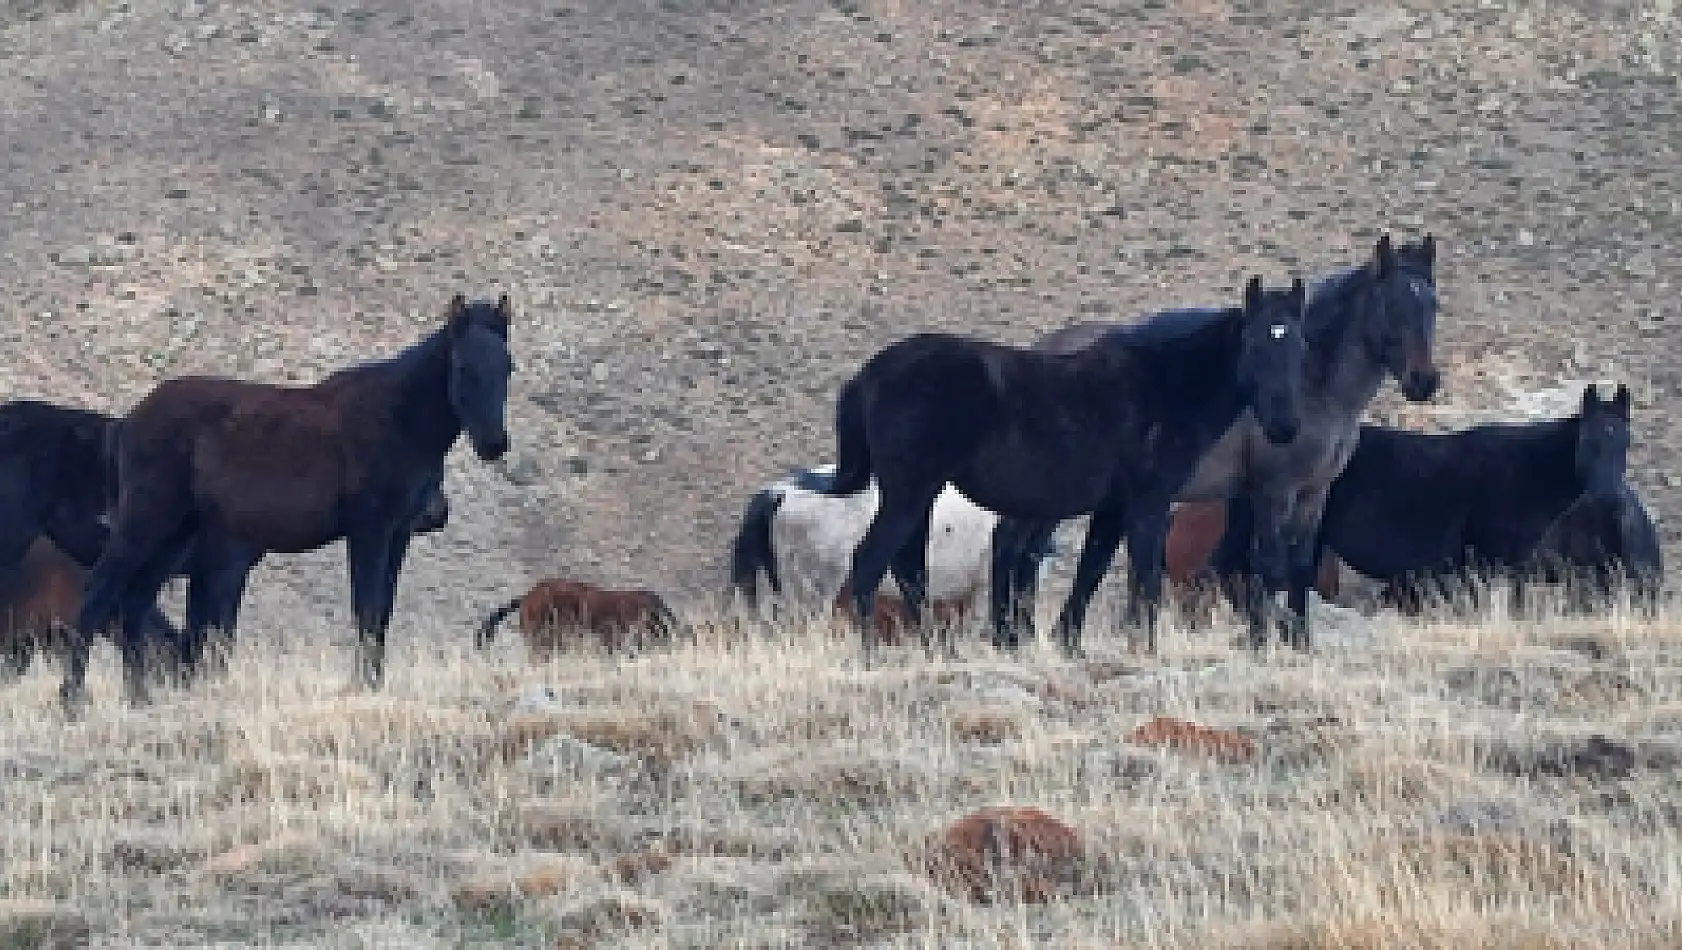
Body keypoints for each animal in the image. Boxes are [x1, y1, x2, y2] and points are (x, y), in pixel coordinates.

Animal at [65, 292, 514, 706]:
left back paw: (138, 699)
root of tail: (128, 422)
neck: (399, 419)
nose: (494, 444)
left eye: (508, 367)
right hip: (146, 522)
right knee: (99, 590)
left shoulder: (399, 533)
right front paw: (363, 686)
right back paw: (72, 699)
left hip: (175, 532)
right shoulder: (369, 530)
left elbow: (383, 611)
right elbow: (366, 607)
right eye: (463, 368)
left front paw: (375, 682)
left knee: (136, 601)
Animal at [814, 274, 1311, 659]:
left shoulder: (1113, 508)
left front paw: (1075, 644)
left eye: (1301, 345)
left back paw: (935, 650)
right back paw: (870, 655)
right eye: (1254, 344)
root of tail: (868, 375)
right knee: (870, 563)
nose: (1285, 426)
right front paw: (1145, 649)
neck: (1165, 385)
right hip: (909, 492)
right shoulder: (1148, 502)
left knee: (909, 567)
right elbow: (1146, 576)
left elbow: (1094, 568)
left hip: (921, 494)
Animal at [989, 235, 1439, 652]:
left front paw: (1299, 643)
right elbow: (1267, 566)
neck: (1314, 389)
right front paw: (1260, 642)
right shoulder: (1273, 492)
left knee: (1028, 550)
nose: (1424, 381)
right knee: (1011, 541)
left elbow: (1298, 566)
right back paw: (1010, 637)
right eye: (1394, 305)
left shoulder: (1315, 492)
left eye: (1434, 305)